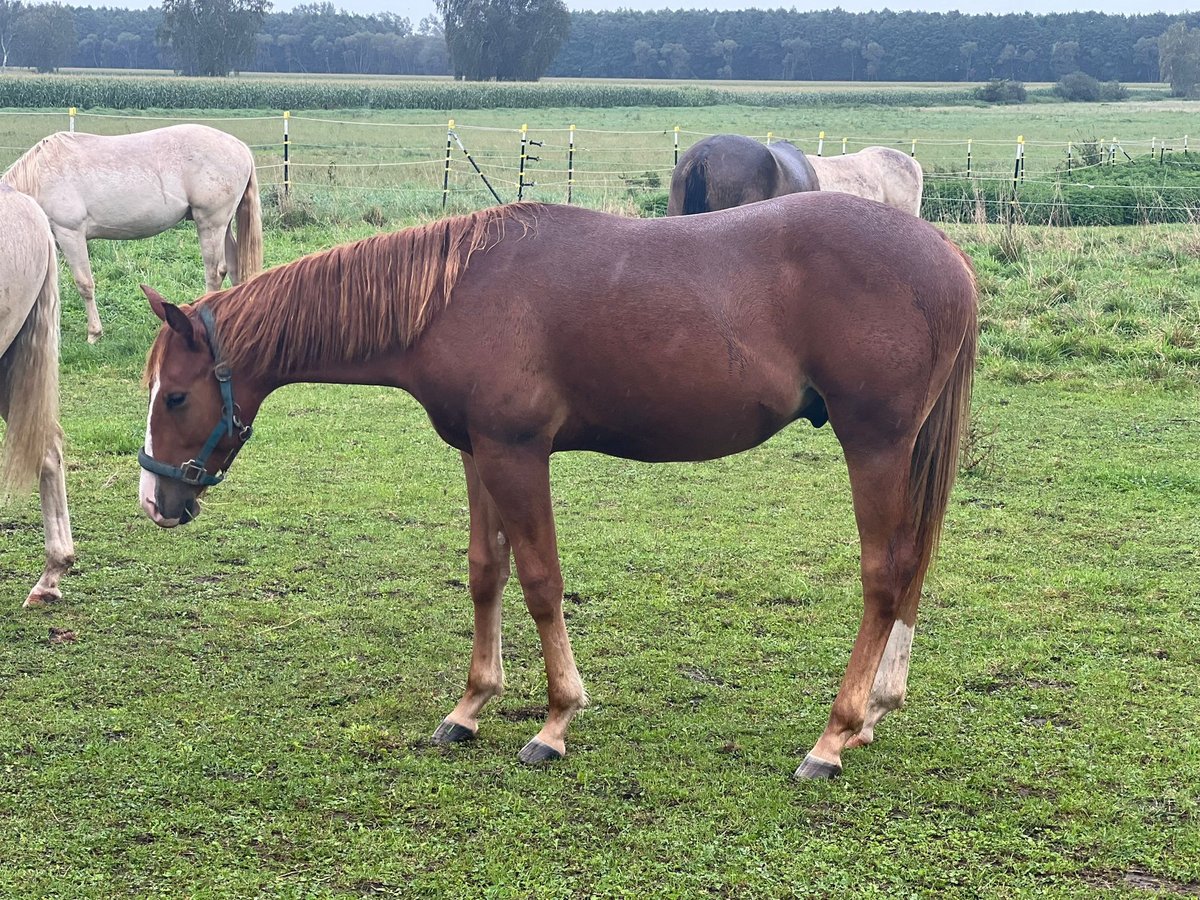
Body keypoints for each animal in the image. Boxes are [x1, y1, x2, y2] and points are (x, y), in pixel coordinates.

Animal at [2, 123, 261, 340]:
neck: (39, 176)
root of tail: (240, 148)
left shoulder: (70, 233)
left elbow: (84, 284)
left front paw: (94, 333)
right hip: (223, 225)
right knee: (235, 267)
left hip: (210, 223)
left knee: (215, 272)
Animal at [138, 195, 974, 782]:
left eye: (175, 396)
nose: (156, 502)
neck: (454, 297)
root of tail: (945, 254)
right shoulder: (477, 452)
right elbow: (486, 574)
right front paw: (470, 707)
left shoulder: (518, 454)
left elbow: (541, 581)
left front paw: (555, 721)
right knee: (912, 569)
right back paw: (872, 715)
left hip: (874, 444)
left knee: (885, 575)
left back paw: (832, 736)